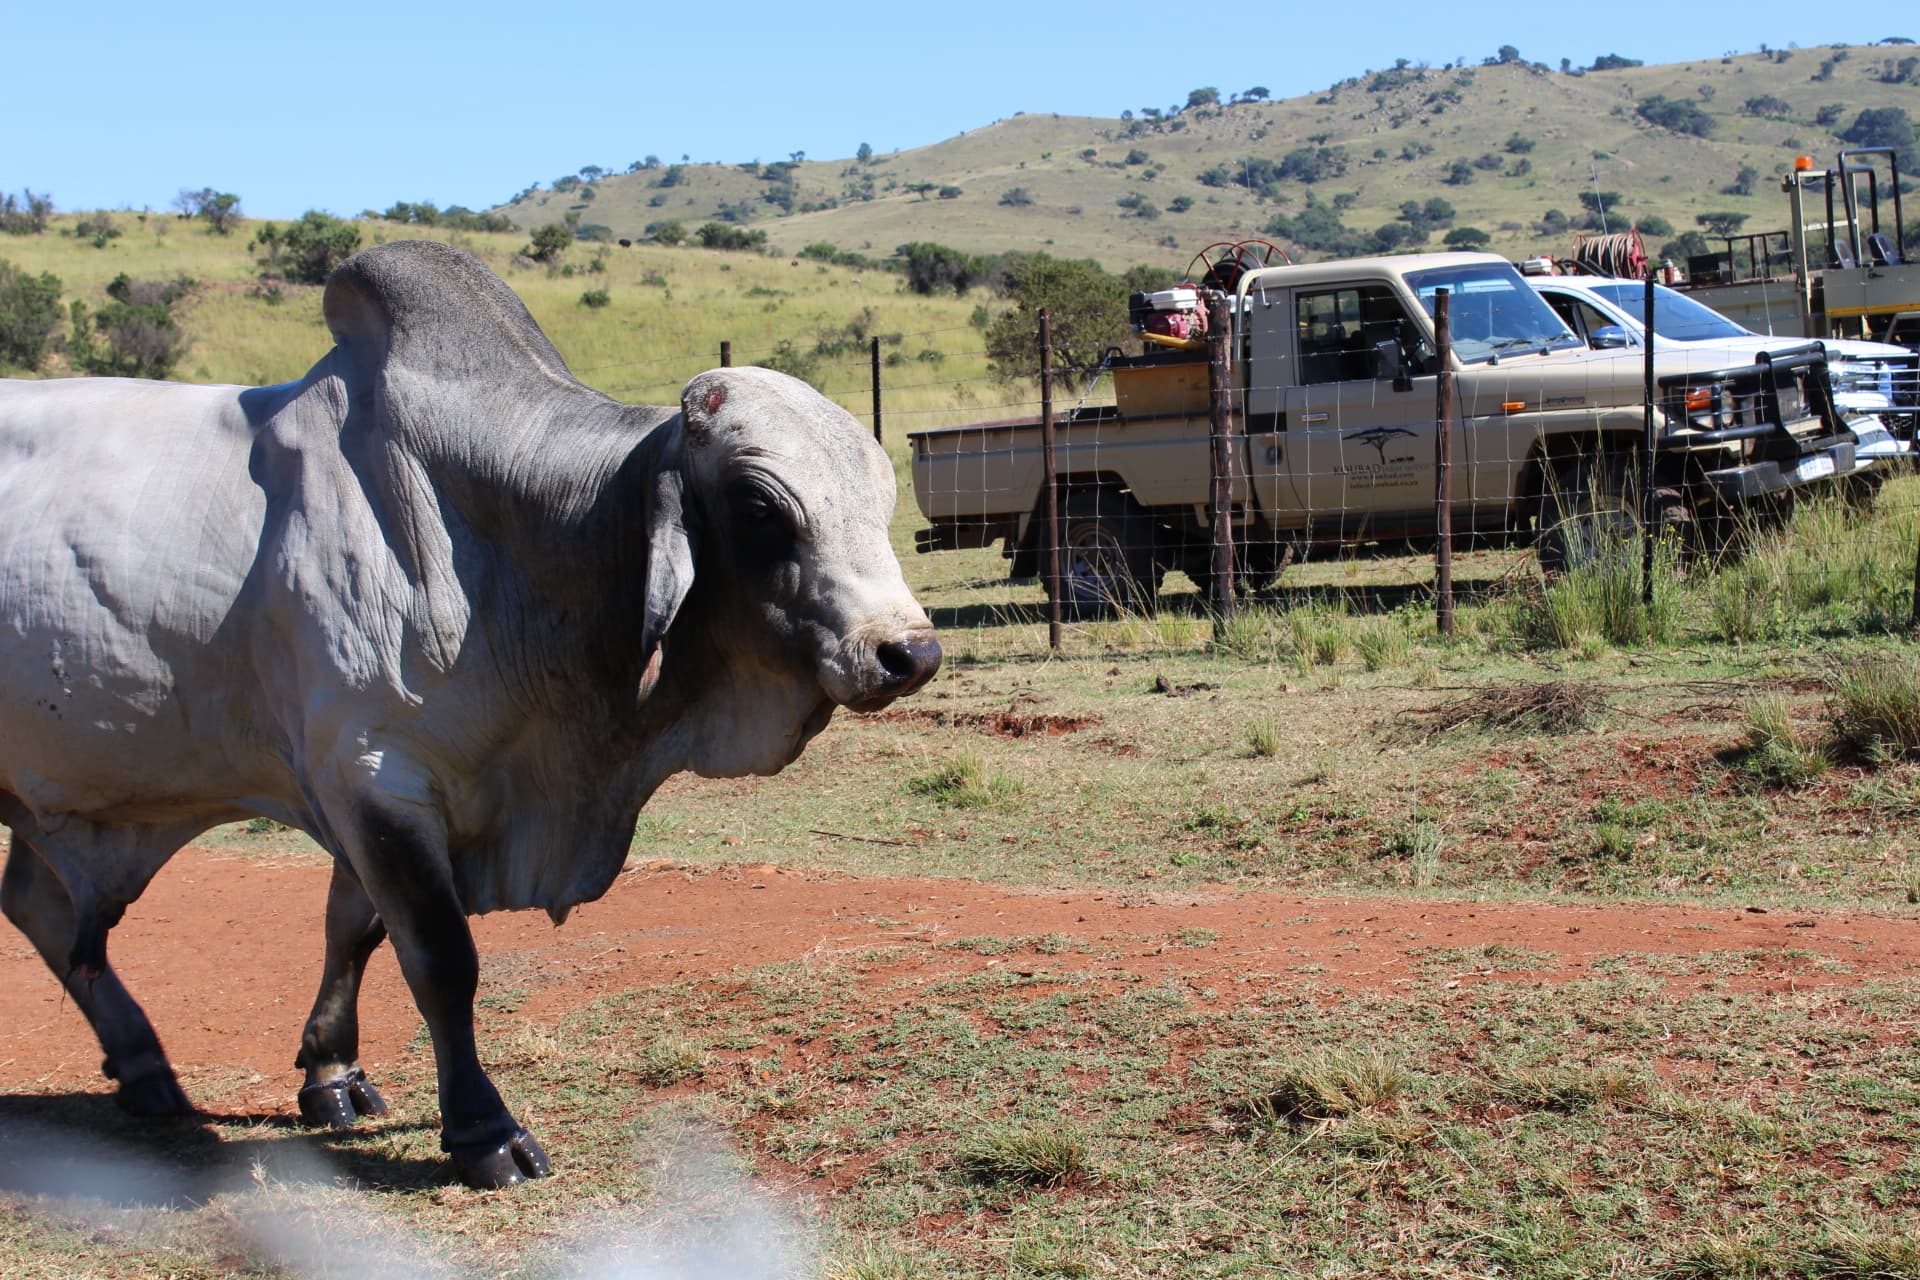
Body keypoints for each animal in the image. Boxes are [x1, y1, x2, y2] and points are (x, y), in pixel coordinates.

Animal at [0, 240, 941, 1188]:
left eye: (883, 490)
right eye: (759, 504)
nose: (908, 653)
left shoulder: (375, 791)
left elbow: (354, 929)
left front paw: (331, 1075)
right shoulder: (371, 773)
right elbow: (439, 957)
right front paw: (483, 1130)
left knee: (42, 908)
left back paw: (146, 1069)